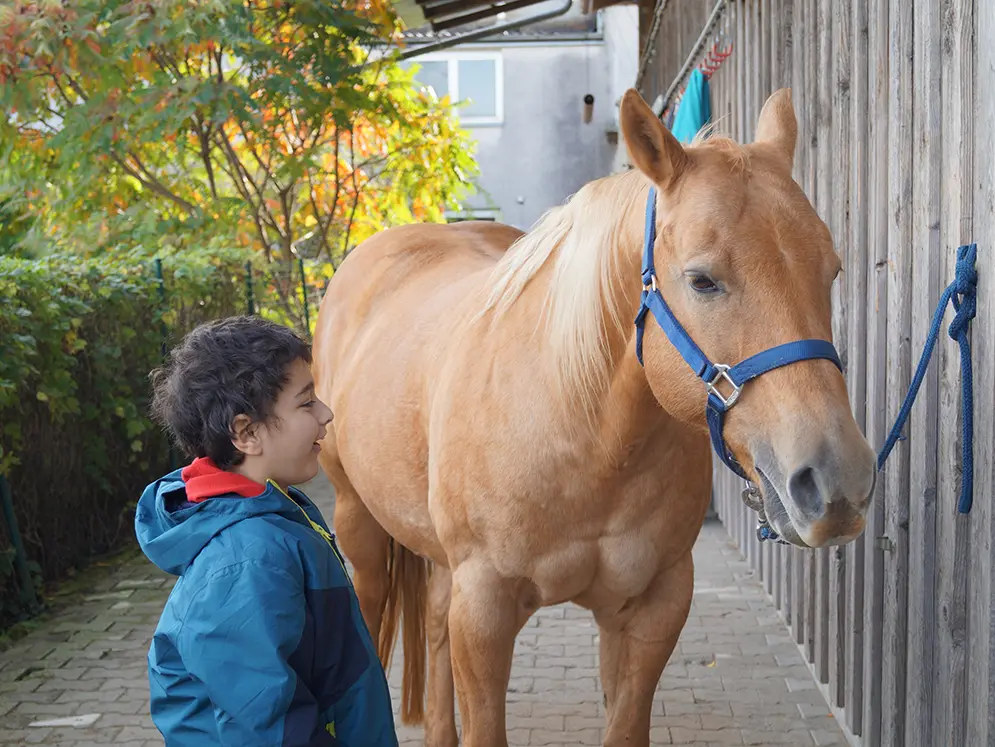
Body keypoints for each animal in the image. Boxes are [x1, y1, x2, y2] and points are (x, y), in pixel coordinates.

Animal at [316, 89, 876, 747]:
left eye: (831, 270)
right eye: (702, 280)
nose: (837, 482)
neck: (583, 438)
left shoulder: (650, 608)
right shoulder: (484, 612)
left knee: (431, 618)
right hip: (358, 526)